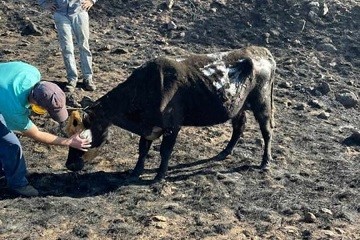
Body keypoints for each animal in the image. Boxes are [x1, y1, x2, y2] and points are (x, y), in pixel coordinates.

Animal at [64, 45, 276, 181]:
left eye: (81, 137)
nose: (69, 165)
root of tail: (262, 52)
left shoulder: (172, 126)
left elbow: (165, 151)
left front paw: (159, 176)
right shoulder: (148, 127)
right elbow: (143, 149)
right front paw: (136, 171)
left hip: (263, 103)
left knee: (267, 131)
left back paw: (265, 162)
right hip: (238, 106)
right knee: (239, 127)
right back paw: (224, 152)